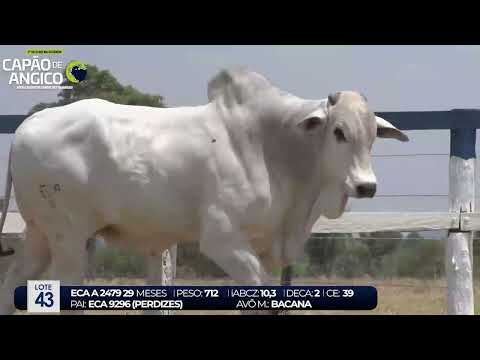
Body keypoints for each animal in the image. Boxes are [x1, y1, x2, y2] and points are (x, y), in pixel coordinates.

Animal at [0, 68, 408, 316]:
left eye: (373, 133)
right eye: (339, 131)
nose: (366, 186)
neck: (275, 148)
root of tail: (26, 126)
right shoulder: (222, 238)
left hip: (41, 233)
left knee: (12, 280)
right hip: (69, 239)